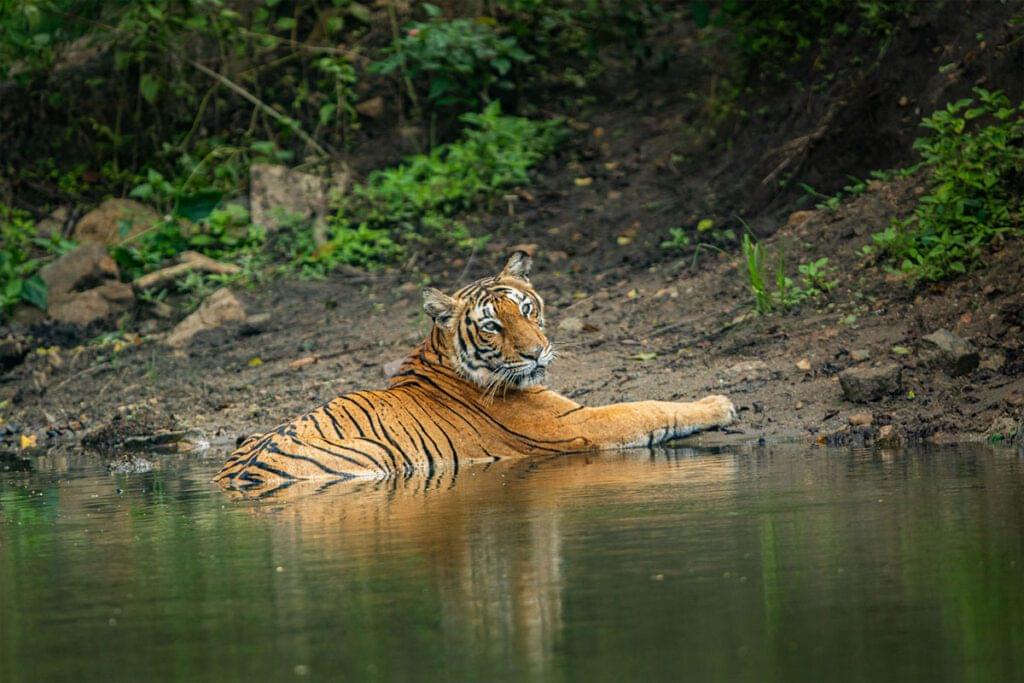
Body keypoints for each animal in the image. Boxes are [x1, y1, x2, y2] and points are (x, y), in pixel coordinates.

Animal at [214, 251, 737, 492]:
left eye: (527, 309)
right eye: (491, 326)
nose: (536, 353)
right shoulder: (579, 424)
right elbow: (649, 407)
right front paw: (719, 404)